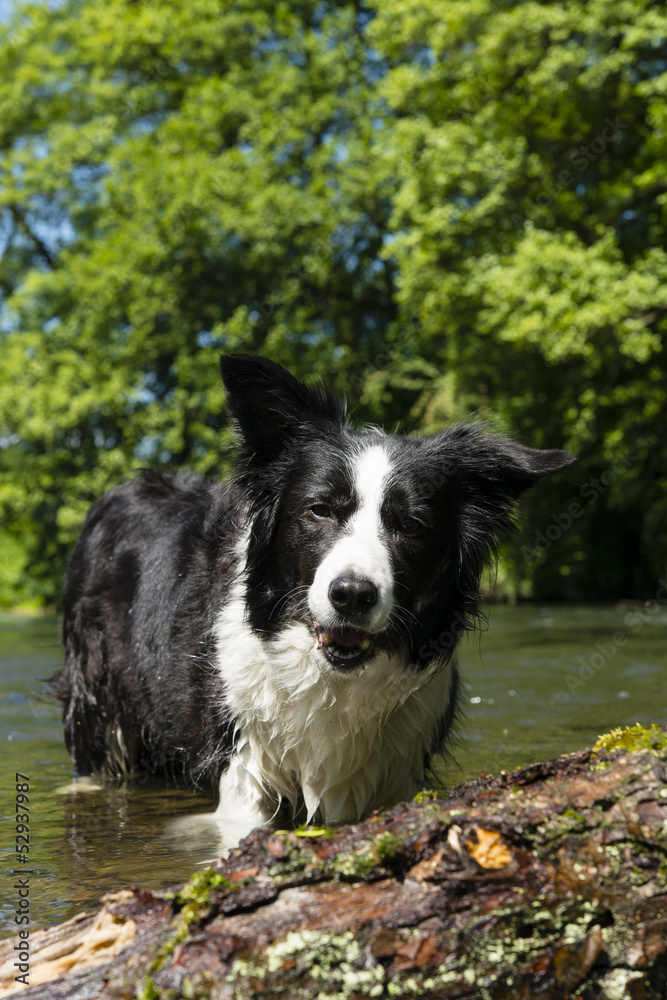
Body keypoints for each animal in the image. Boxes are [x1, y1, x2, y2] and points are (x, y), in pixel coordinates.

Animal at [54, 356, 576, 840]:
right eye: (320, 509)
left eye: (411, 524)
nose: (352, 595)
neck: (331, 679)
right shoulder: (242, 767)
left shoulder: (396, 771)